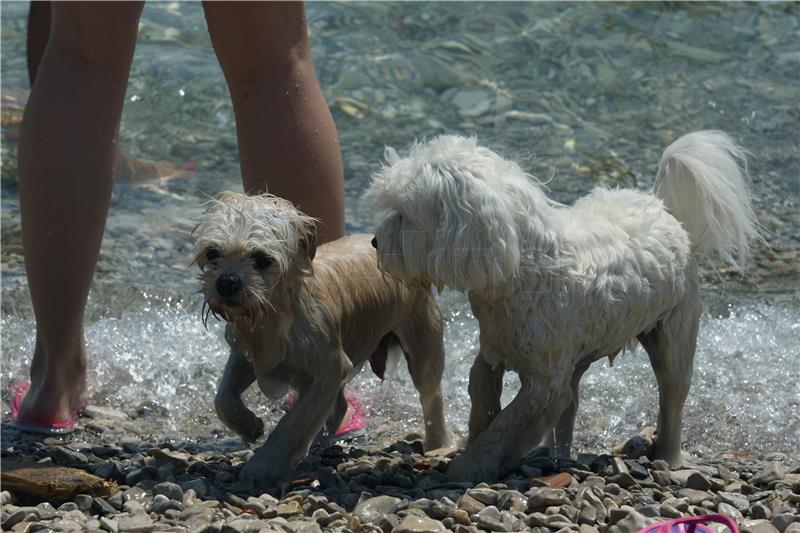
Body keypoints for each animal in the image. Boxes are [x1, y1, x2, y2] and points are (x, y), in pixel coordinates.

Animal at [191, 193, 446, 488]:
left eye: (261, 259)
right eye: (212, 253)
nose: (227, 282)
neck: (275, 315)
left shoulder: (329, 370)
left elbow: (293, 423)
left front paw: (264, 465)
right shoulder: (245, 355)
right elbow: (223, 399)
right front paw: (249, 426)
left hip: (422, 344)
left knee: (431, 397)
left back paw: (438, 445)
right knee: (340, 406)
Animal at [366, 131, 760, 480]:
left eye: (403, 215)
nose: (373, 242)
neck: (520, 266)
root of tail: (663, 207)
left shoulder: (544, 385)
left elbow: (507, 425)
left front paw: (472, 465)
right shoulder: (494, 350)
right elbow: (483, 394)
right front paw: (474, 441)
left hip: (674, 333)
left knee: (672, 394)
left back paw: (667, 452)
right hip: (579, 357)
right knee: (572, 403)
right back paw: (560, 455)